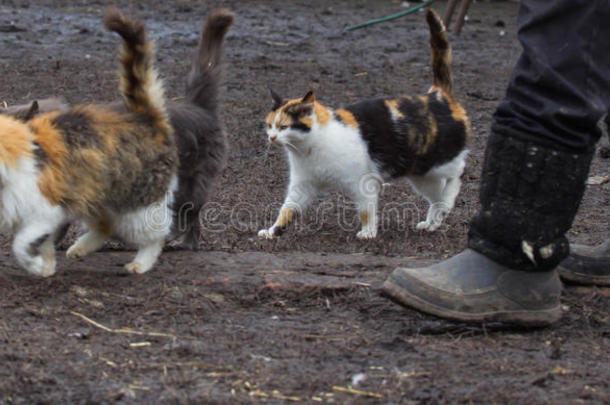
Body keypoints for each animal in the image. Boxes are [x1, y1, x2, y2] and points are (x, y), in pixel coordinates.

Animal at [0, 7, 178, 276]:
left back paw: (141, 263)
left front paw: (35, 264)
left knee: (156, 235)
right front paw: (46, 267)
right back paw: (80, 248)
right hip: (94, 196)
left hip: (135, 204)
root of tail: (144, 116)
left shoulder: (45, 209)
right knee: (105, 226)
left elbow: (21, 244)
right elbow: (40, 244)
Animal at [258, 9, 468, 240]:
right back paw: (433, 221)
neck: (309, 149)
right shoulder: (303, 184)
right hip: (422, 175)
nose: (271, 137)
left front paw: (368, 233)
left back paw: (447, 200)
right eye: (270, 125)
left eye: (284, 127)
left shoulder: (363, 182)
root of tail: (438, 95)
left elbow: (366, 210)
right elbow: (287, 209)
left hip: (439, 161)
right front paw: (272, 231)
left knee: (457, 176)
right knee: (437, 199)